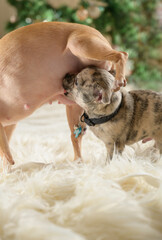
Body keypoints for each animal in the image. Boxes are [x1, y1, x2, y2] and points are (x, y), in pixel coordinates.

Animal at [0, 21, 128, 166]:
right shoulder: (8, 126)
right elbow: (6, 155)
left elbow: (7, 157)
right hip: (75, 109)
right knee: (76, 140)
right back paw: (76, 164)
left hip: (79, 44)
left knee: (121, 54)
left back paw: (119, 78)